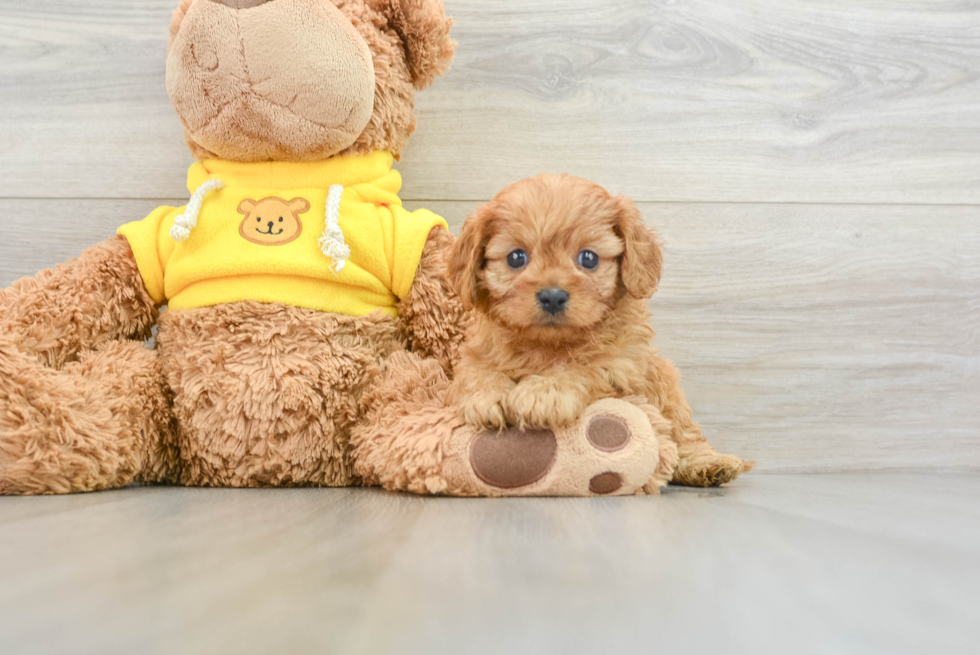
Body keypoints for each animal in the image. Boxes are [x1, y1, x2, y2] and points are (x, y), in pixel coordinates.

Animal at [448, 174, 756, 486]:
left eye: (589, 258)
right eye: (515, 258)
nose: (553, 296)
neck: (549, 344)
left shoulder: (621, 363)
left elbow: (583, 366)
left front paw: (545, 392)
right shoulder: (476, 353)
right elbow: (478, 373)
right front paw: (488, 396)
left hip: (667, 384)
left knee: (685, 433)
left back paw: (708, 464)